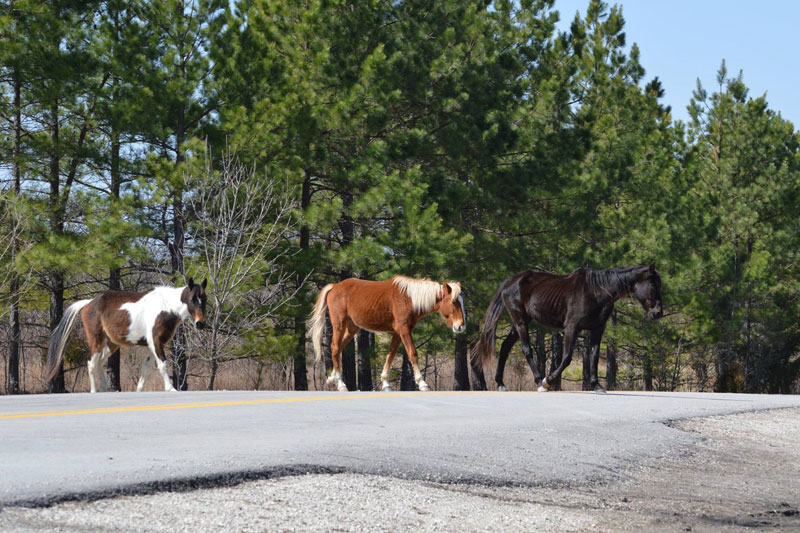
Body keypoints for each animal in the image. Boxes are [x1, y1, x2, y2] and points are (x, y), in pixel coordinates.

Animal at [45, 278, 208, 390]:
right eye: (192, 299)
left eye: (204, 299)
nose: (200, 323)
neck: (166, 306)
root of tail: (89, 302)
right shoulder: (156, 342)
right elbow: (163, 365)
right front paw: (170, 388)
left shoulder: (153, 346)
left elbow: (145, 370)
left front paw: (139, 390)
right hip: (96, 340)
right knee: (91, 363)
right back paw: (94, 391)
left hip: (111, 344)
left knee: (99, 362)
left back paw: (104, 388)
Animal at [310, 276, 466, 392]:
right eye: (453, 302)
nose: (461, 326)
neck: (409, 298)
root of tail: (335, 286)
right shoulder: (404, 330)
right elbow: (413, 354)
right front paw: (422, 383)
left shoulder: (398, 333)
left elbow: (390, 355)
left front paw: (385, 383)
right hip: (339, 325)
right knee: (336, 348)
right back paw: (341, 383)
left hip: (352, 328)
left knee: (337, 348)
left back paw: (332, 378)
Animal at [468, 264, 664, 392]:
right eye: (653, 285)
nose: (658, 313)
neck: (597, 290)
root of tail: (511, 281)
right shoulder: (571, 327)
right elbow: (567, 357)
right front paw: (548, 380)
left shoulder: (597, 329)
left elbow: (593, 356)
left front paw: (596, 385)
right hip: (520, 321)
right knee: (526, 350)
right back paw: (539, 380)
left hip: (519, 323)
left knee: (505, 348)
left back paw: (500, 383)